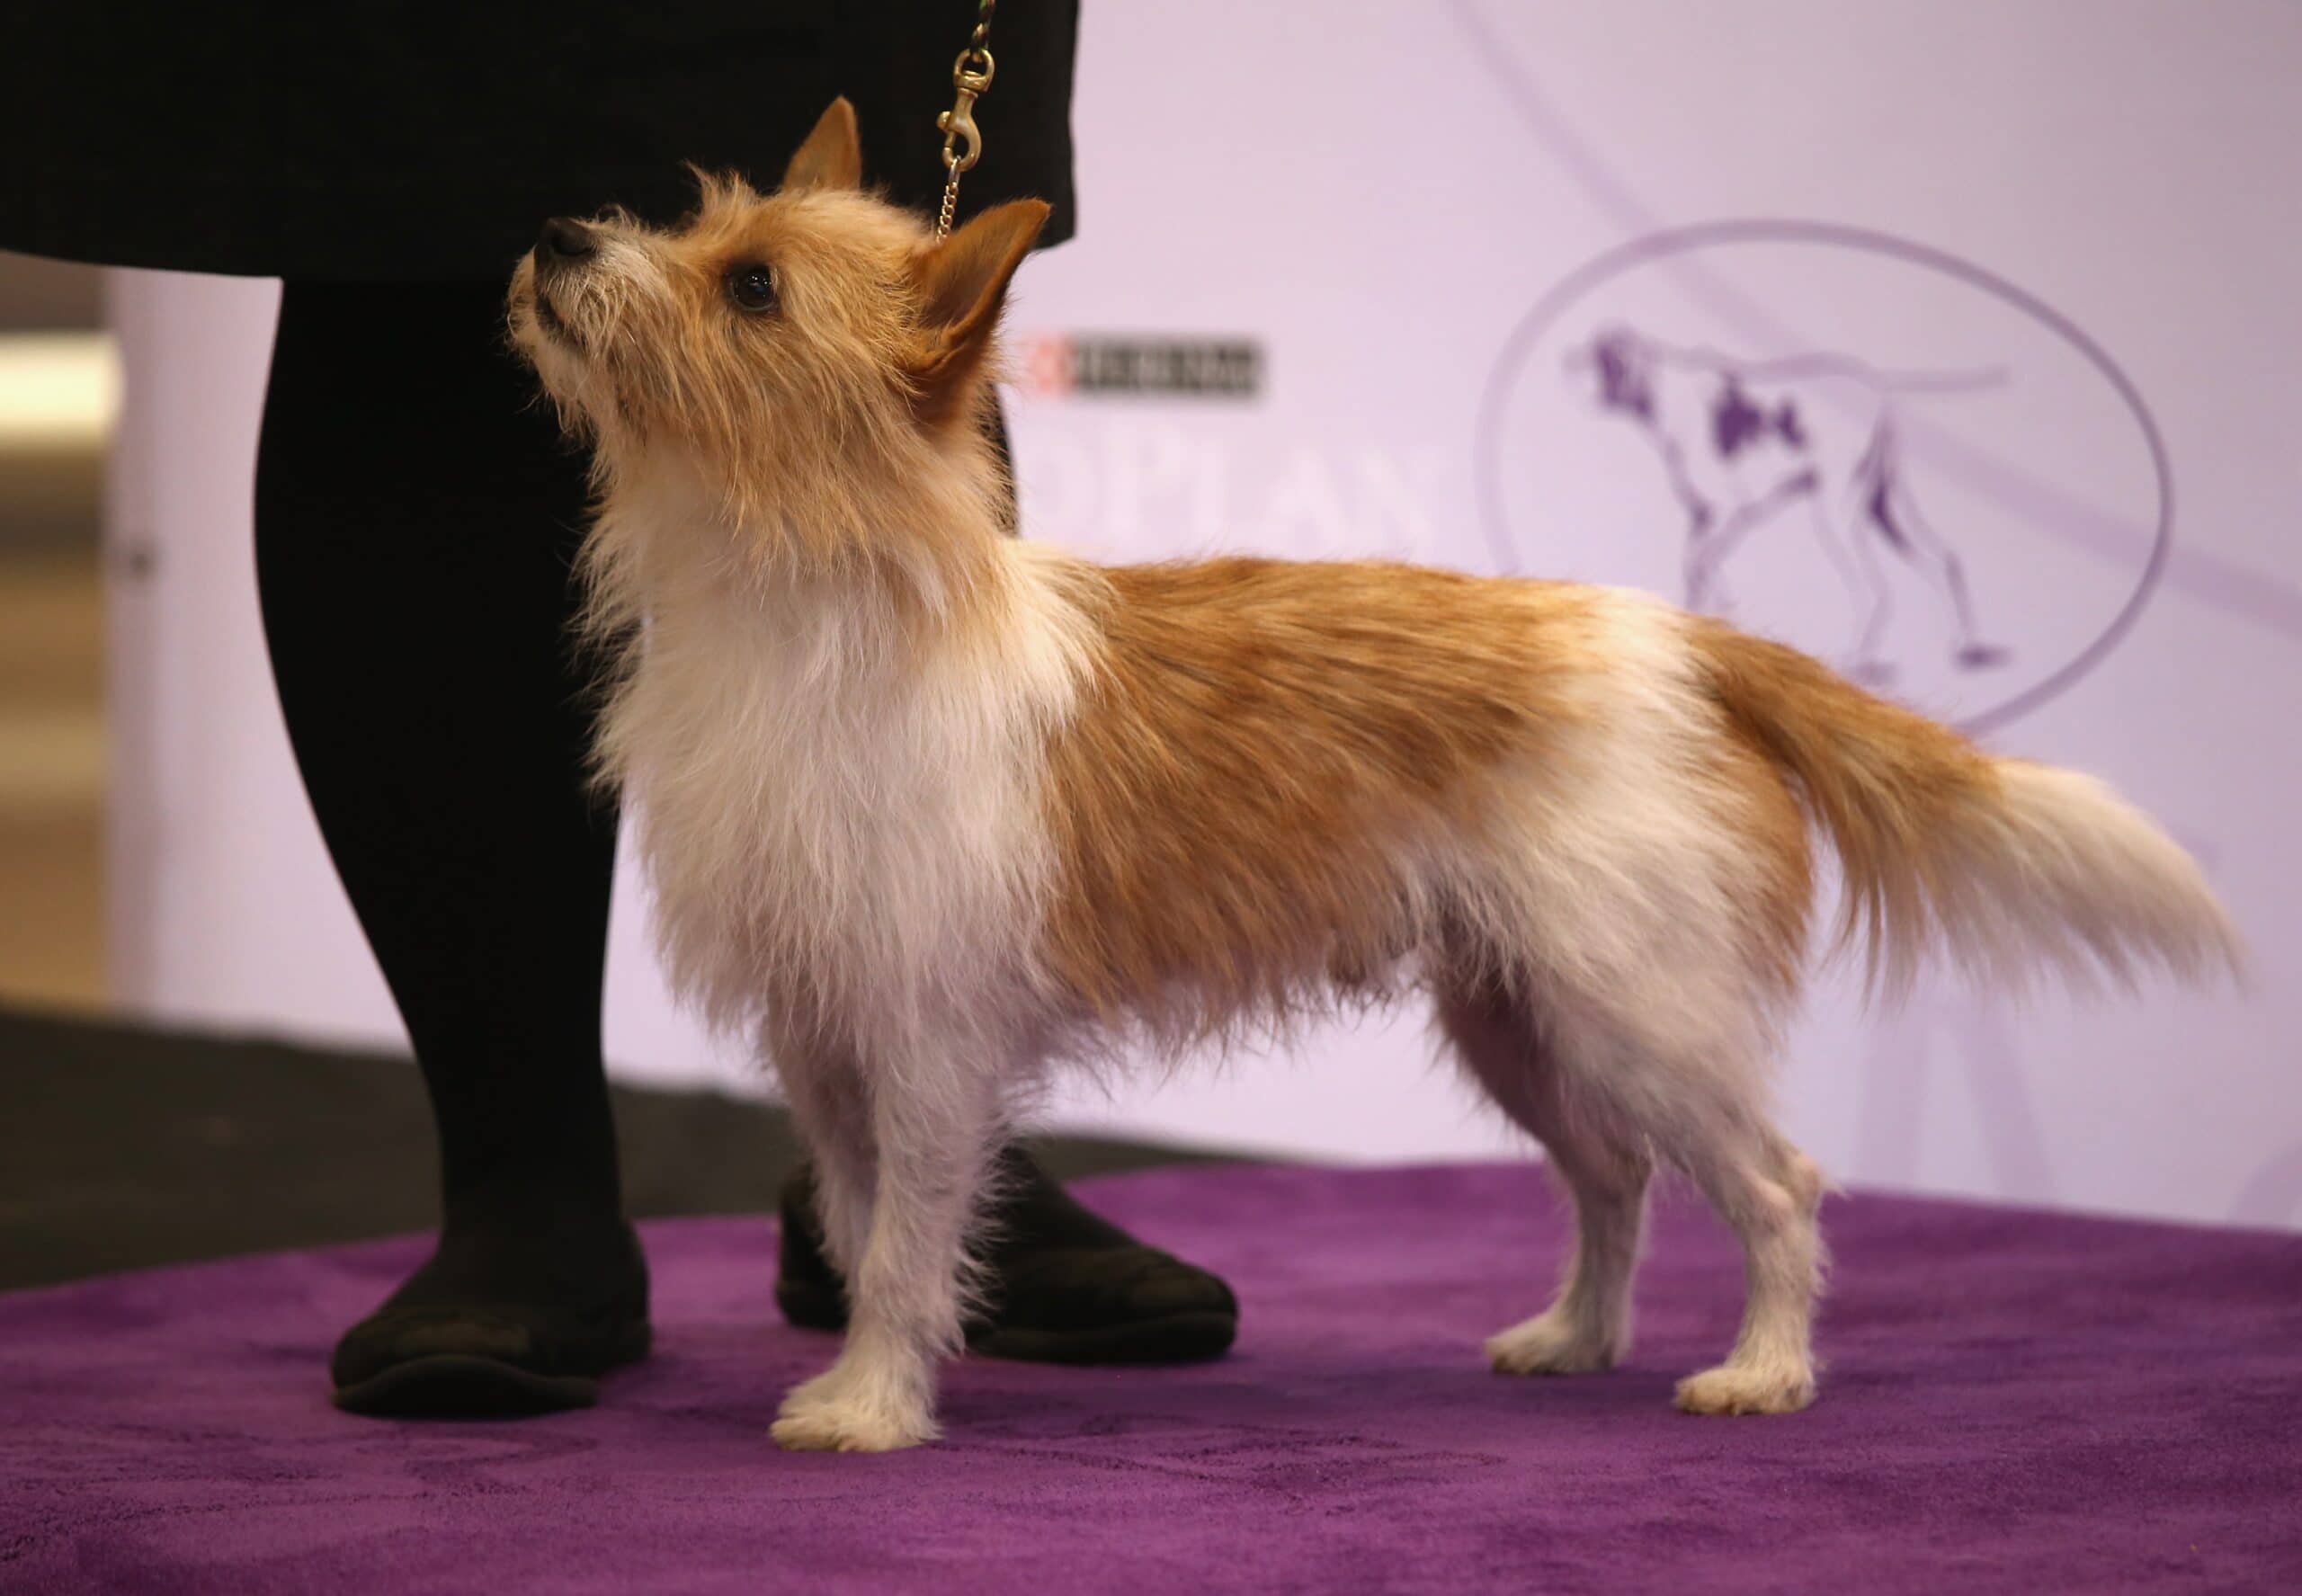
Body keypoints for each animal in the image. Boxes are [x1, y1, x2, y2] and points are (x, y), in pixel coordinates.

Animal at [508, 96, 2246, 1446]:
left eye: (750, 286)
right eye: (695, 219)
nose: (558, 238)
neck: (800, 603)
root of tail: (1686, 639)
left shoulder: (928, 1046)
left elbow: (899, 1246)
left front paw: (872, 1408)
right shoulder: (828, 1045)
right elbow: (863, 1224)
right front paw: (877, 1383)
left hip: (1644, 1009)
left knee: (1775, 1181)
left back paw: (1763, 1371)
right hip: (1525, 1016)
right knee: (1614, 1179)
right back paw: (1578, 1338)